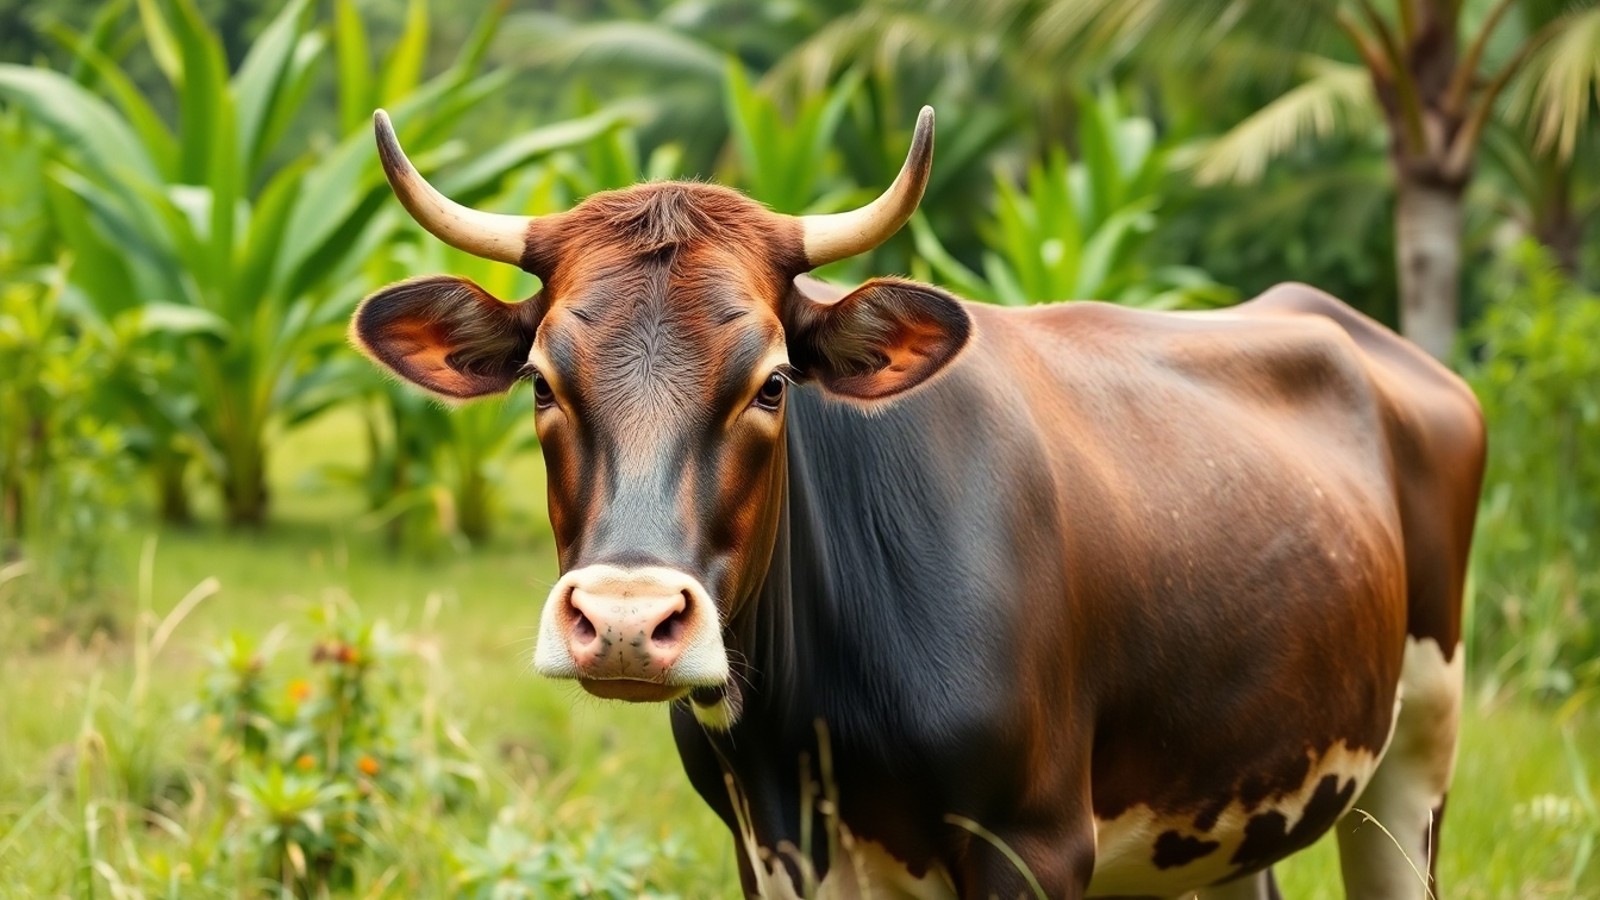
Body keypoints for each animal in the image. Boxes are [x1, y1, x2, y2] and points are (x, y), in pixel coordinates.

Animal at [350, 106, 1485, 899]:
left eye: (772, 382)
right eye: (542, 382)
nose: (627, 623)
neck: (810, 732)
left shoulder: (1034, 843)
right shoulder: (765, 847)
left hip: (1412, 772)